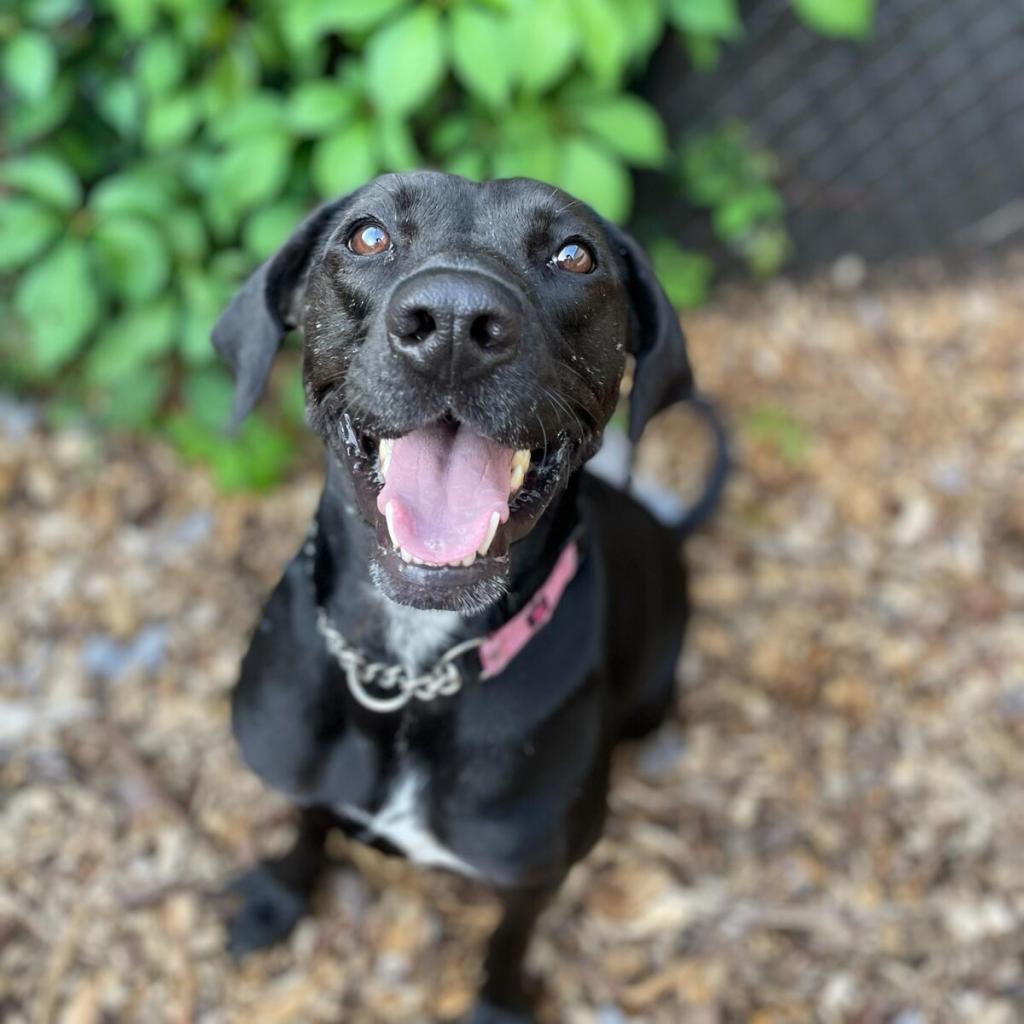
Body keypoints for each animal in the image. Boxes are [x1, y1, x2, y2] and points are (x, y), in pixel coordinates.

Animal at [211, 172, 724, 1019]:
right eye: (368, 236)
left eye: (575, 253)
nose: (453, 321)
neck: (410, 670)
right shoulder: (297, 774)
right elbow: (304, 829)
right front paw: (276, 901)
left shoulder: (535, 870)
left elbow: (509, 938)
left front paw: (500, 1001)